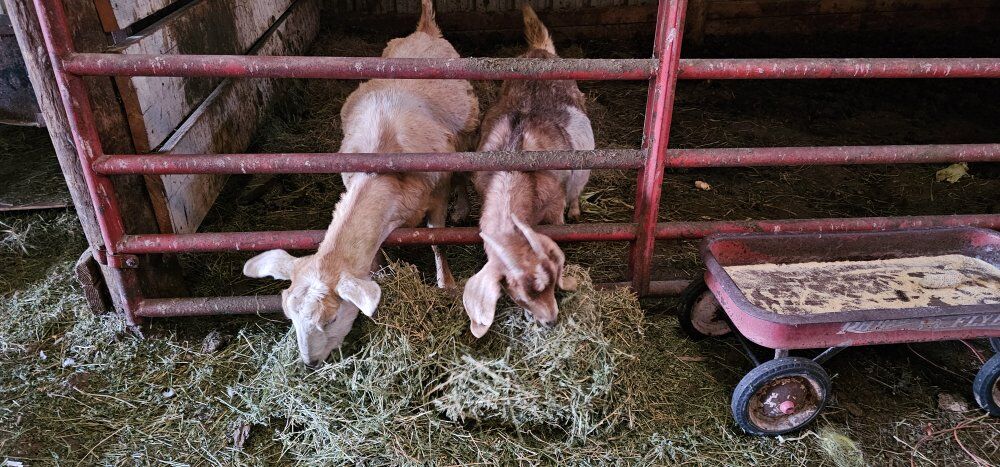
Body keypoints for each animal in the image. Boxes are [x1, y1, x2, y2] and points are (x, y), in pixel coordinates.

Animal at [243, 0, 479, 366]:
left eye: (330, 318)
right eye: (290, 316)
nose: (309, 363)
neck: (382, 170)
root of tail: (424, 30)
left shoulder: (437, 190)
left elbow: (437, 240)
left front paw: (447, 284)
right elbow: (380, 252)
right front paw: (385, 274)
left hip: (467, 132)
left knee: (465, 173)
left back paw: (463, 207)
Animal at [462, 5, 594, 338]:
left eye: (552, 280)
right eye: (518, 297)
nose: (551, 321)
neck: (514, 170)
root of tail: (540, 50)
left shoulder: (555, 206)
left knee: (578, 188)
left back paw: (577, 208)